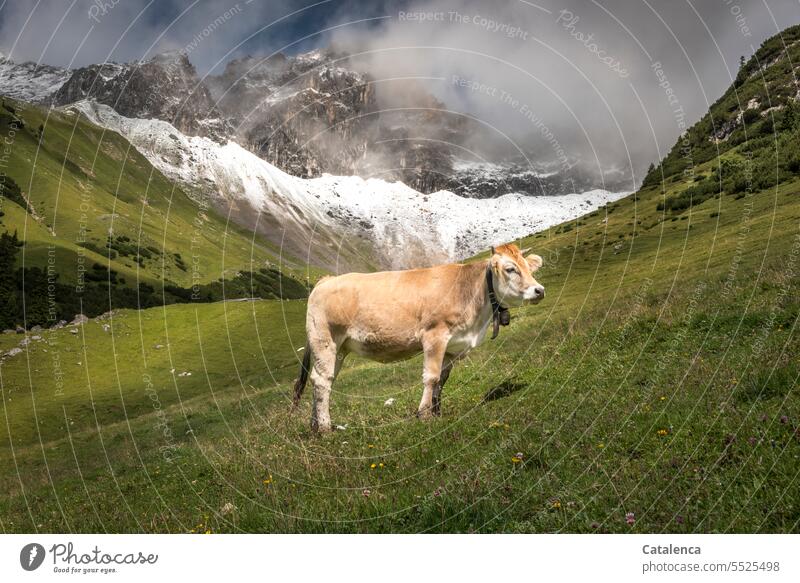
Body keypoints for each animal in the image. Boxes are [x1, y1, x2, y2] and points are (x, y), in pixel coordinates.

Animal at [294, 243, 544, 434]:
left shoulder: (453, 346)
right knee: (322, 381)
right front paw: (424, 414)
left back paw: (315, 425)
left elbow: (442, 380)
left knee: (321, 379)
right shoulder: (434, 335)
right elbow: (431, 378)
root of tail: (326, 280)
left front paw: (437, 412)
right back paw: (325, 428)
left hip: (339, 348)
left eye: (528, 268)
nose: (539, 290)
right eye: (510, 269)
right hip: (324, 340)